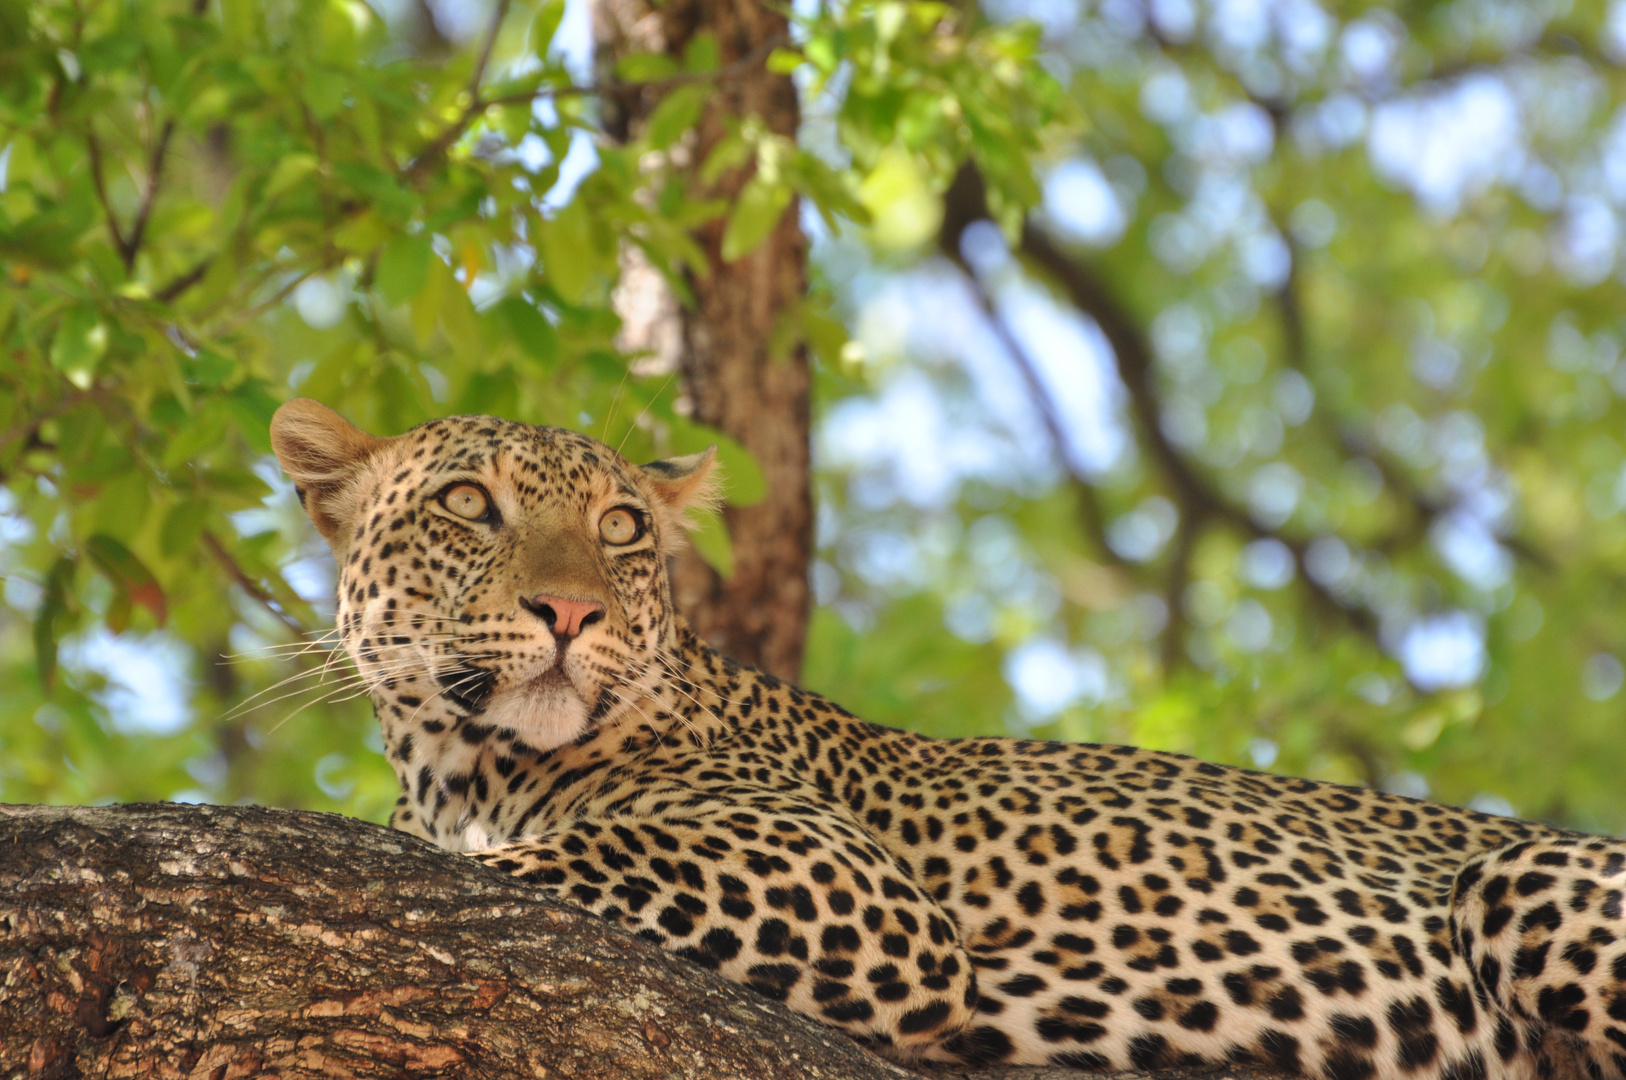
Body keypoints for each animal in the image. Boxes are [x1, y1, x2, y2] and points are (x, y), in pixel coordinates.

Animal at [273, 398, 1626, 1080]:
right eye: (468, 504)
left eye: (619, 528)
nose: (572, 613)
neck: (458, 768)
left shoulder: (849, 881)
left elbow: (536, 864)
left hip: (1521, 876)